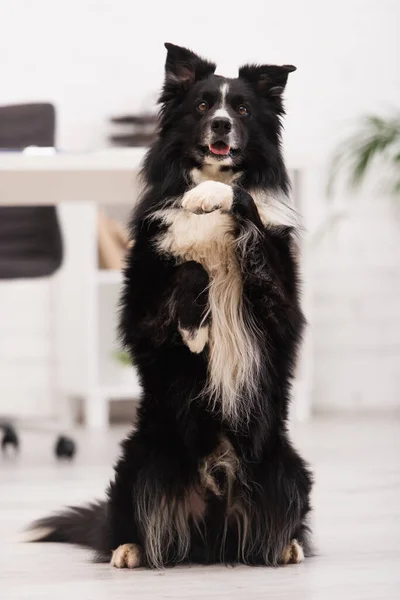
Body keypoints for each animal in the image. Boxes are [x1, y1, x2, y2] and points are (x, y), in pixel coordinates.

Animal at [30, 44, 312, 568]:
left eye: (242, 109)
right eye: (202, 106)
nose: (221, 125)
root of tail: (212, 535)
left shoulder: (280, 302)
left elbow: (244, 207)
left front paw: (211, 197)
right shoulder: (140, 312)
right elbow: (190, 269)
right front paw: (196, 330)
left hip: (287, 465)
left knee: (279, 523)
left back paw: (286, 546)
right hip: (140, 462)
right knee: (134, 520)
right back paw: (129, 549)